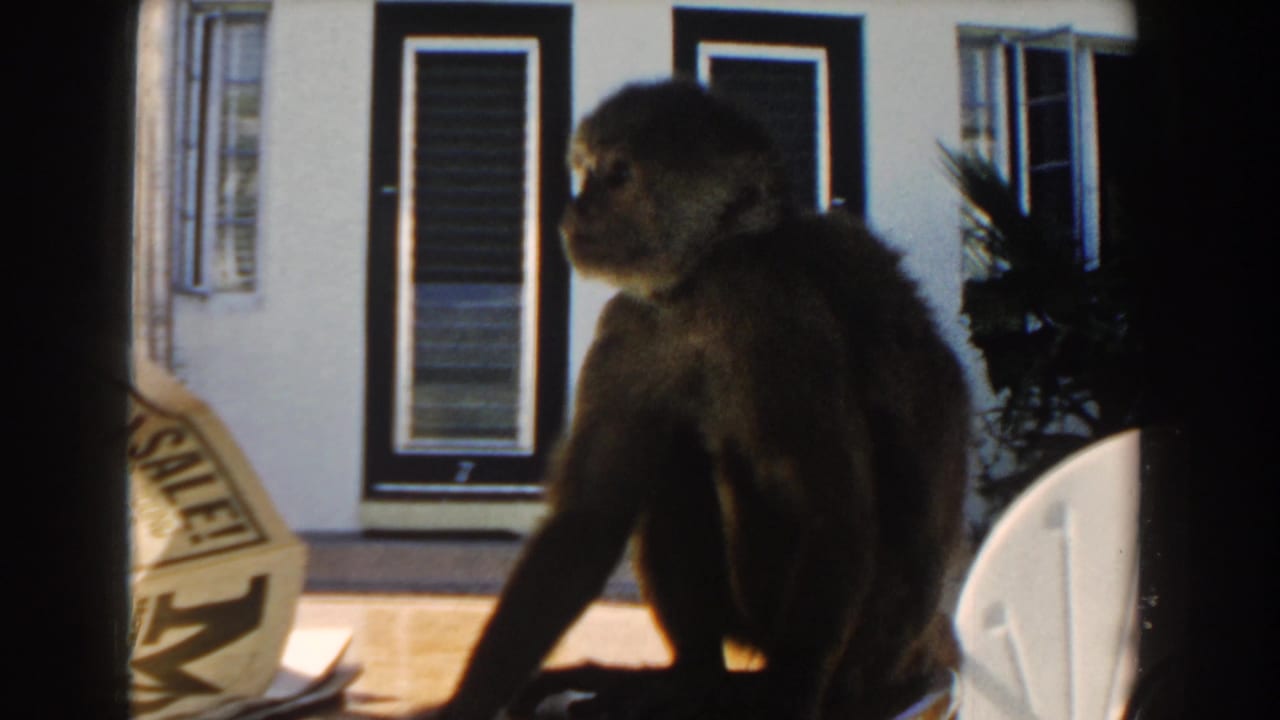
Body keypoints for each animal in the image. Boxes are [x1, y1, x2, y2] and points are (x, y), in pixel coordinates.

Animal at [421, 79, 970, 720]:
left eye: (617, 176)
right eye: (587, 171)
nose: (576, 209)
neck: (701, 289)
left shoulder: (771, 306)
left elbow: (832, 514)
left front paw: (783, 699)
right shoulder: (634, 324)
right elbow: (588, 520)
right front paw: (471, 699)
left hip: (842, 648)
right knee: (673, 458)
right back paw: (691, 677)